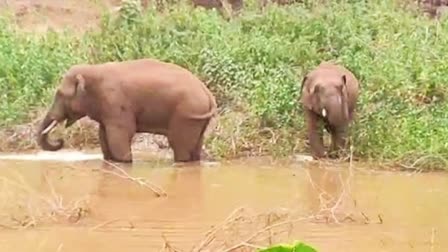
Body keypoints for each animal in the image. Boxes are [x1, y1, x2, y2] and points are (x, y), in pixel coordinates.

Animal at [36, 58, 217, 163]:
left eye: (60, 94)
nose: (60, 141)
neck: (93, 69)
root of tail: (208, 93)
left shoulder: (115, 102)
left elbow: (120, 135)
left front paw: (125, 162)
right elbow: (103, 136)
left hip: (186, 114)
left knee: (179, 145)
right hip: (196, 118)